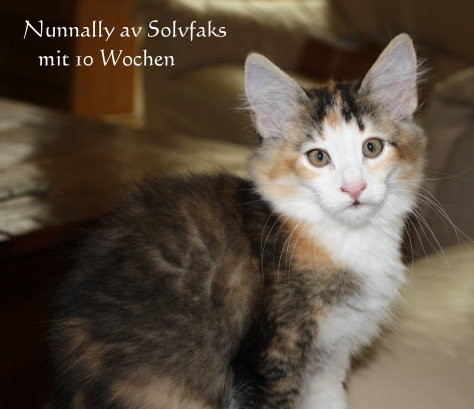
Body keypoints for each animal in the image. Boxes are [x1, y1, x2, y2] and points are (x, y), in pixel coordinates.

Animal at [51, 33, 426, 409]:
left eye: (372, 148)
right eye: (318, 157)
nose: (354, 188)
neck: (347, 239)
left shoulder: (330, 361)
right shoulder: (268, 360)